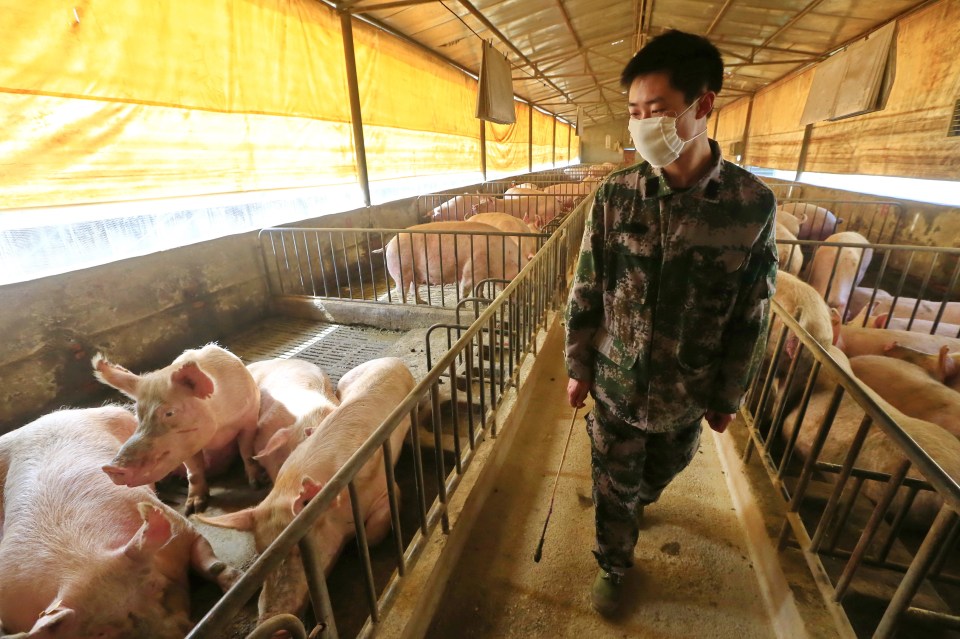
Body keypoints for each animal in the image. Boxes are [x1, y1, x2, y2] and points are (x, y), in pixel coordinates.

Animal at [0, 408, 239, 636]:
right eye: (101, 633)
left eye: (155, 585)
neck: (83, 560)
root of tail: (37, 421)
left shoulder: (181, 527)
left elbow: (210, 563)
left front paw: (234, 580)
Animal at [92, 344, 260, 516]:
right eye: (138, 414)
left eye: (170, 413)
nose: (111, 468)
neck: (218, 429)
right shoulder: (185, 447)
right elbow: (194, 472)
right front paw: (192, 510)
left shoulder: (250, 416)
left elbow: (247, 452)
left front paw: (257, 484)